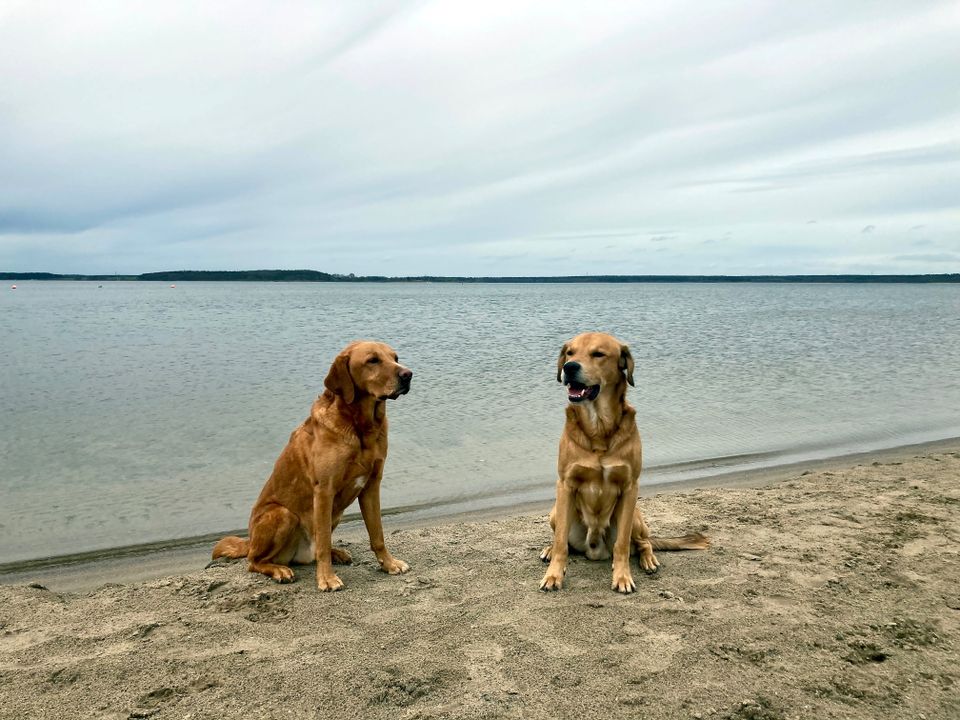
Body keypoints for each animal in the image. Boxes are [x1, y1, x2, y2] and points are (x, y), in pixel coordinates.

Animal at [214, 340, 412, 592]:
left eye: (395, 357)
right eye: (372, 360)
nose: (408, 374)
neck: (360, 427)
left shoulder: (371, 485)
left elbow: (377, 534)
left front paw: (388, 563)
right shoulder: (325, 491)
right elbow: (324, 543)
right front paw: (327, 578)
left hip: (335, 513)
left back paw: (337, 553)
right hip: (283, 514)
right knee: (254, 561)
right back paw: (279, 569)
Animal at [540, 332, 704, 592]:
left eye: (598, 354)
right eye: (570, 353)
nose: (569, 367)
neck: (599, 427)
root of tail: (594, 549)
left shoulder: (630, 488)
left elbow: (623, 545)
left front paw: (623, 577)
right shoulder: (564, 485)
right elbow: (561, 544)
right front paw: (553, 575)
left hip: (636, 516)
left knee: (643, 542)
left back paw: (648, 560)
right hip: (556, 512)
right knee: (562, 540)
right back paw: (548, 549)